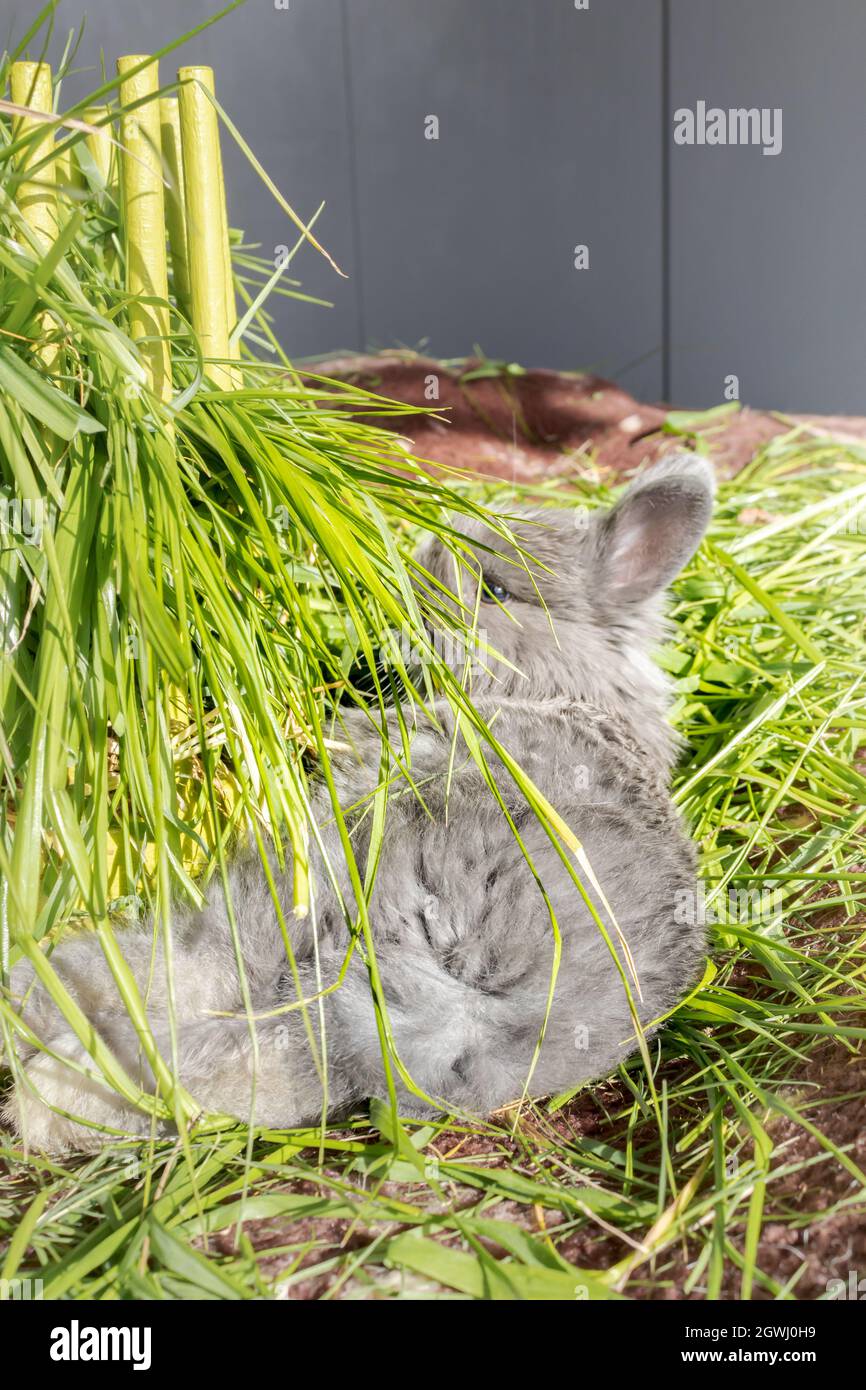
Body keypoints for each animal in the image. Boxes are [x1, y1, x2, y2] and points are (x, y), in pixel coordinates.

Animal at [1, 451, 714, 1153]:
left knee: (211, 993)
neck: (561, 685)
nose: (394, 600)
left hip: (327, 886)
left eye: (494, 590)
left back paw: (42, 1062)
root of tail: (482, 1012)